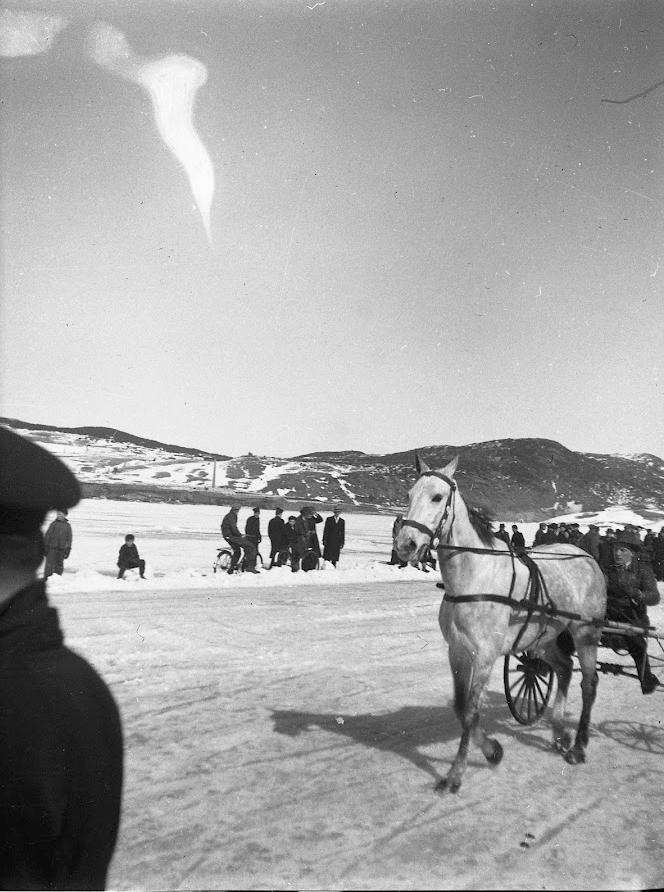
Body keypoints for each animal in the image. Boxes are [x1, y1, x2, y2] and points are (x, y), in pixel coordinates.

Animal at [394, 456, 608, 792]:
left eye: (437, 497)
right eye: (408, 494)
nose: (405, 544)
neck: (473, 578)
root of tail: (587, 557)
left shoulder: (485, 656)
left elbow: (471, 712)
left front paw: (456, 773)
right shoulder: (457, 652)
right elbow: (461, 708)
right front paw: (492, 749)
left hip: (586, 633)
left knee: (589, 683)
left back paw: (579, 745)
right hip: (543, 639)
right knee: (562, 669)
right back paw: (560, 731)